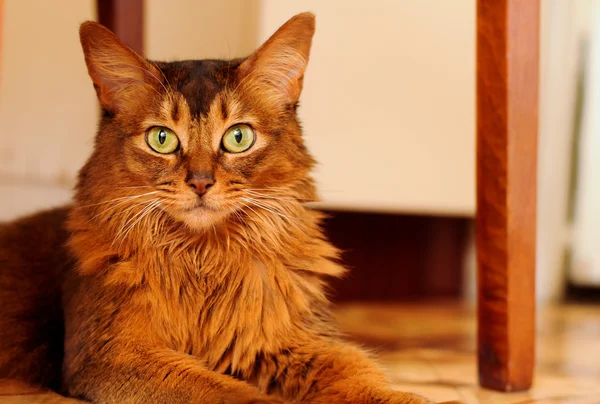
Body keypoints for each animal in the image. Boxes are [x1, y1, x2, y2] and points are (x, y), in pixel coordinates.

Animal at [0, 12, 446, 404]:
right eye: (161, 138)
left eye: (238, 137)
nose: (200, 182)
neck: (205, 256)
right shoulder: (111, 355)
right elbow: (229, 393)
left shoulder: (292, 340)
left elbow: (358, 371)